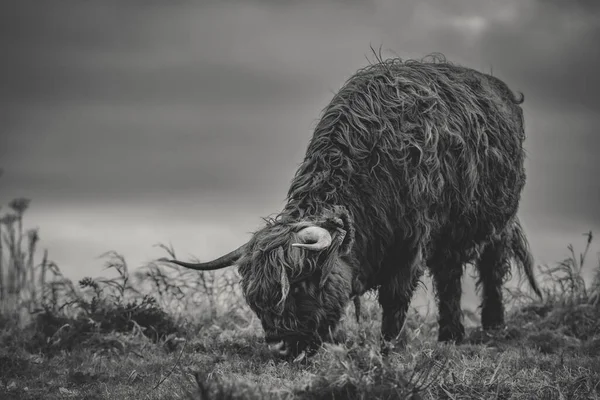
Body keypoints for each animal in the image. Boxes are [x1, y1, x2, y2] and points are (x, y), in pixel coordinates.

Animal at [166, 54, 540, 358]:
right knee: (449, 278)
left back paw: (491, 327)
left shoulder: (411, 242)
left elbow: (395, 299)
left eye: (299, 285)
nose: (278, 344)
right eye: (255, 299)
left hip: (498, 223)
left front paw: (389, 348)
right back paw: (451, 336)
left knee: (491, 270)